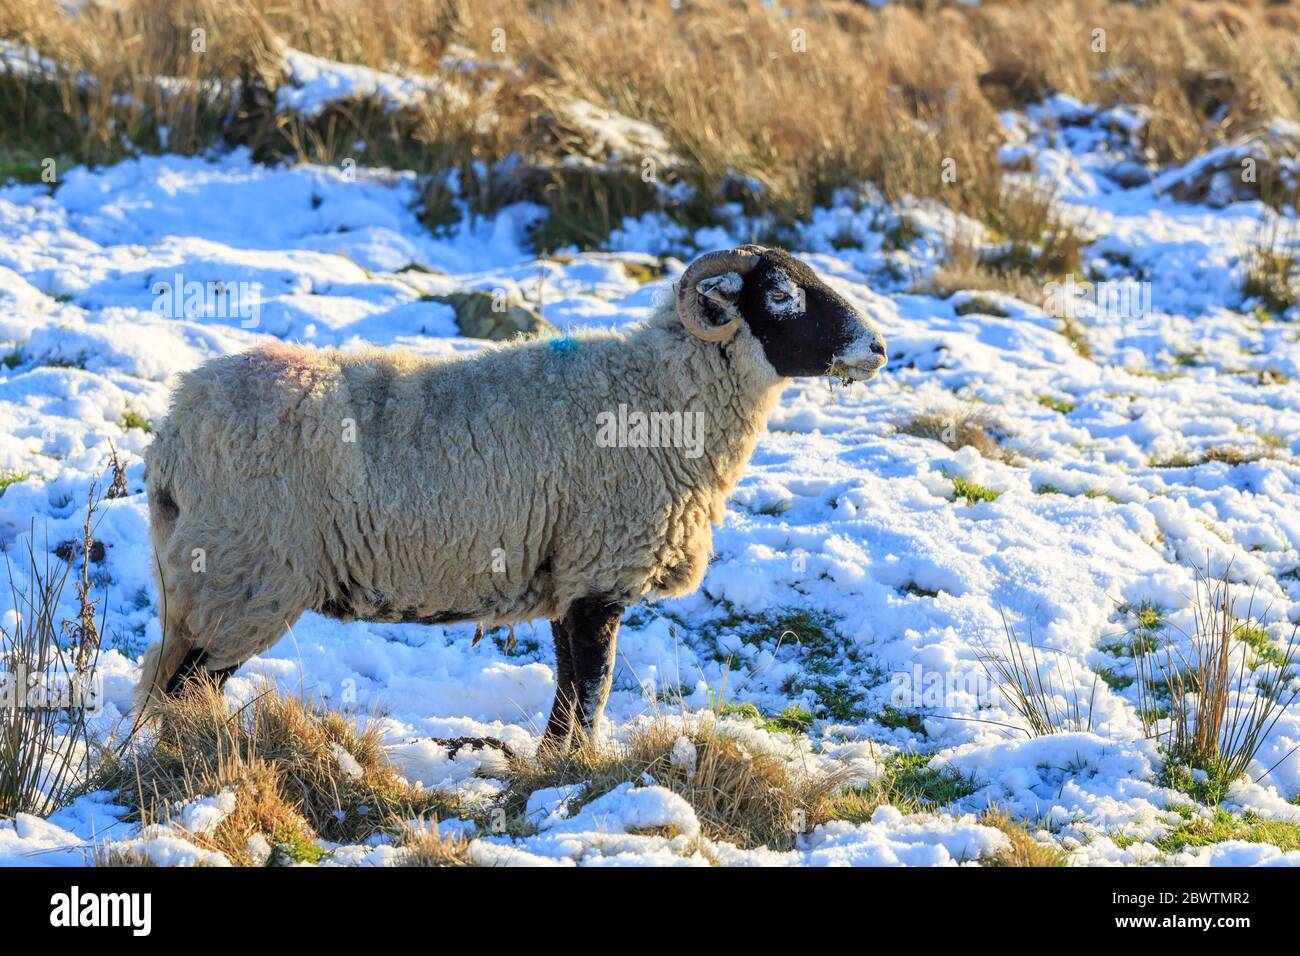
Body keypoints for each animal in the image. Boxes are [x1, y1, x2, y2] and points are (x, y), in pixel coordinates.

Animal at [134, 247, 883, 749]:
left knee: (179, 679)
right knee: (184, 686)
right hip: (245, 576)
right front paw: (581, 766)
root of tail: (172, 432)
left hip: (214, 580)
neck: (661, 397)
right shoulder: (599, 572)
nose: (877, 348)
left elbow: (568, 688)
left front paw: (552, 763)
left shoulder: (566, 573)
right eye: (781, 295)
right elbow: (593, 686)